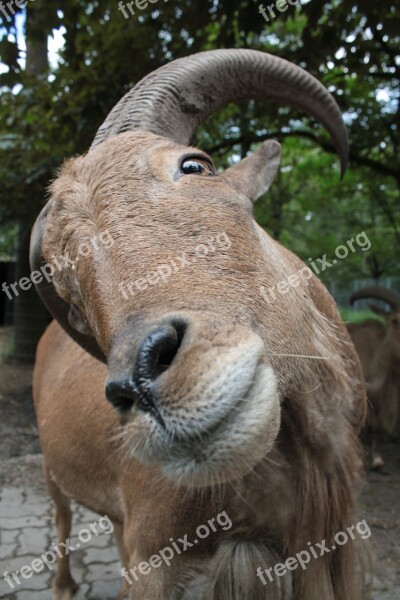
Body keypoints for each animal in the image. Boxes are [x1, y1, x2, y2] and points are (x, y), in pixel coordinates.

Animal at [30, 49, 368, 596]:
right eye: (68, 291)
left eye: (195, 165)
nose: (143, 380)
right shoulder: (157, 558)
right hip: (50, 465)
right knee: (61, 515)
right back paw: (63, 583)